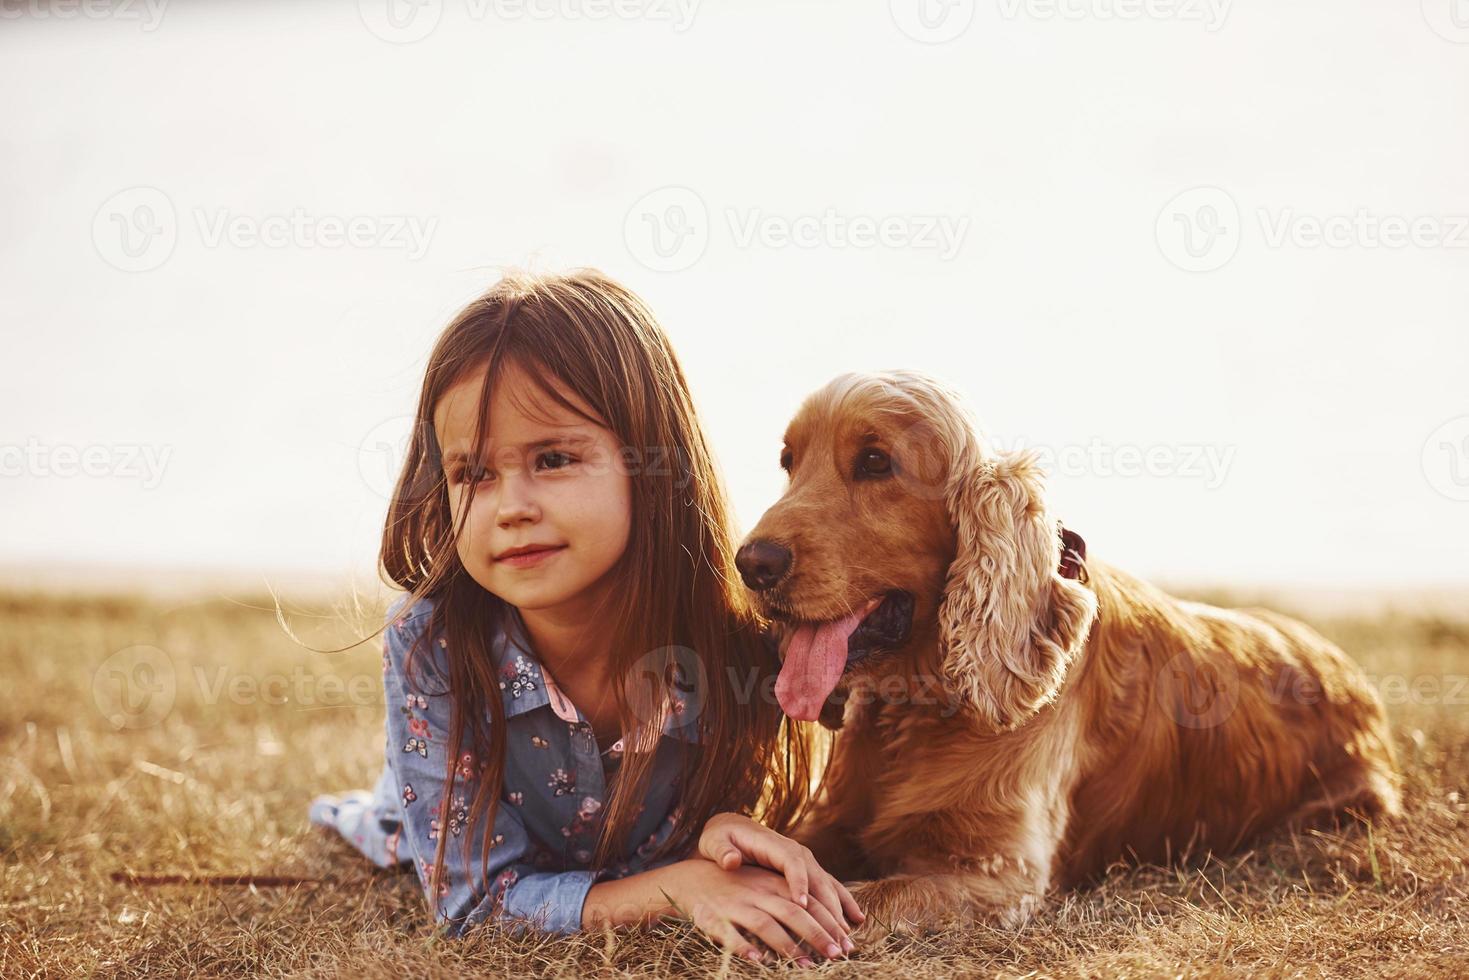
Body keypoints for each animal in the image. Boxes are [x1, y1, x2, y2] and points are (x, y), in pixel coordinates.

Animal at [734, 371, 1398, 940]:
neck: (922, 706)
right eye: (789, 462)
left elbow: (869, 897)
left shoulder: (999, 875)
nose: (750, 563)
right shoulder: (834, 818)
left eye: (875, 462)